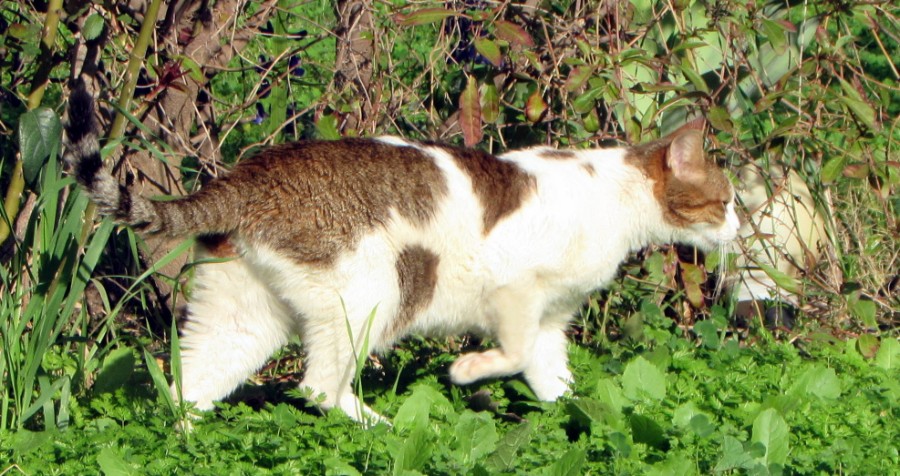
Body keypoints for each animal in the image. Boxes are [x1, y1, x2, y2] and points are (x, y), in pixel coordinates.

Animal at [63, 83, 740, 422]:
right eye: (727, 200)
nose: (738, 228)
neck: (613, 196)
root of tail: (248, 178)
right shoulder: (514, 295)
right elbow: (511, 353)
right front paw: (466, 373)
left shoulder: (550, 322)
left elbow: (554, 381)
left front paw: (590, 422)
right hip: (372, 293)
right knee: (318, 388)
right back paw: (385, 434)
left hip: (241, 319)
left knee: (187, 389)